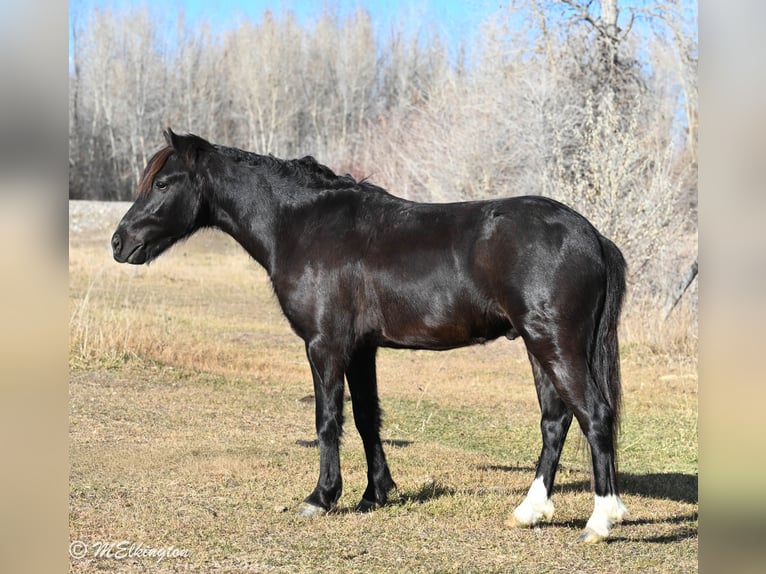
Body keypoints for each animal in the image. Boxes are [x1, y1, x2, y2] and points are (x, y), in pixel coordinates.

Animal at [112, 129, 628, 543]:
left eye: (162, 183)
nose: (119, 242)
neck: (304, 226)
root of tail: (590, 235)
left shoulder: (324, 346)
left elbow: (328, 420)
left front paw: (321, 497)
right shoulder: (361, 350)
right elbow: (365, 419)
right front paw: (374, 495)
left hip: (554, 343)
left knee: (594, 415)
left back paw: (600, 521)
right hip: (539, 348)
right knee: (555, 421)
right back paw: (529, 511)